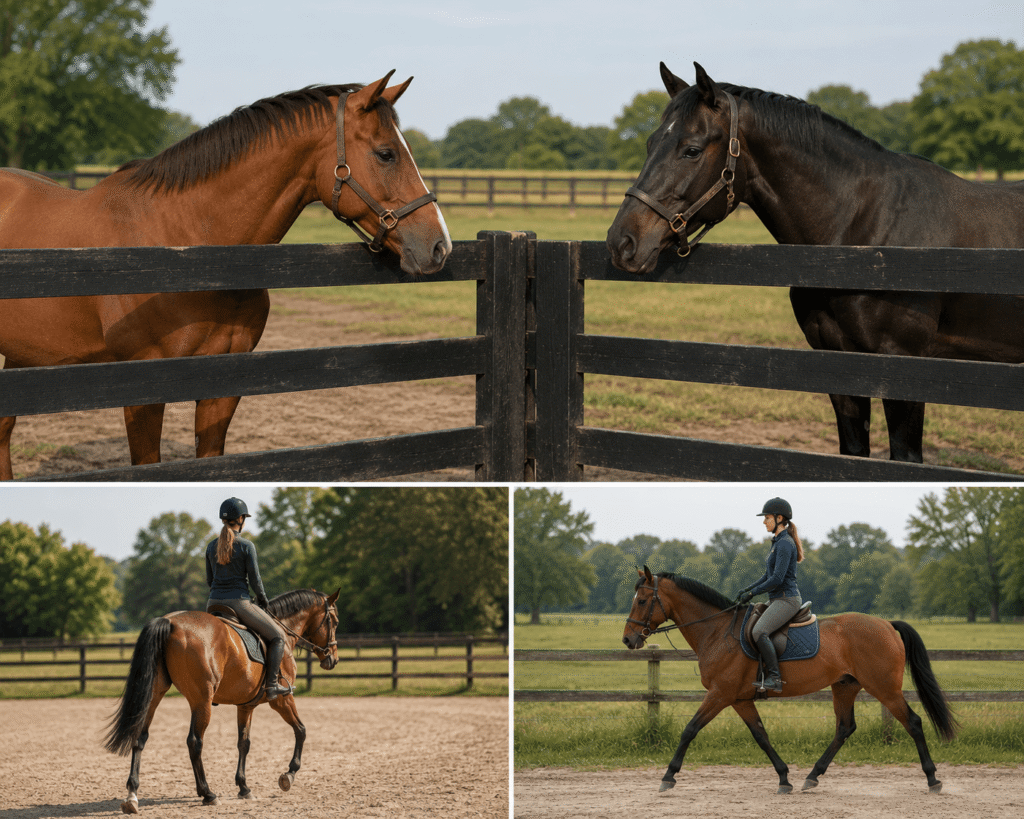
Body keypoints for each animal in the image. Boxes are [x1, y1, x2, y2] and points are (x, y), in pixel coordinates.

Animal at [104, 589, 340, 813]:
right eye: (335, 621)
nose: (333, 659)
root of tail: (170, 622)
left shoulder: (246, 706)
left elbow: (244, 743)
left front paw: (244, 787)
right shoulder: (283, 699)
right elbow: (301, 730)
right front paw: (289, 774)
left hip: (154, 694)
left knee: (140, 737)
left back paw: (132, 795)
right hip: (202, 701)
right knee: (195, 742)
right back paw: (208, 793)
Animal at [607, 61, 1024, 463]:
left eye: (691, 150)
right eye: (650, 143)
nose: (621, 242)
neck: (861, 237)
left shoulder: (904, 367)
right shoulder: (836, 361)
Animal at [622, 567, 957, 795]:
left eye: (642, 600)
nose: (628, 640)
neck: (716, 631)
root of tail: (887, 624)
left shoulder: (720, 694)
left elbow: (689, 730)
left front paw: (668, 776)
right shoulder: (739, 699)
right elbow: (761, 735)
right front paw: (784, 778)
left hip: (884, 688)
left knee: (913, 722)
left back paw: (933, 779)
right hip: (845, 686)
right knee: (844, 728)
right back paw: (812, 776)